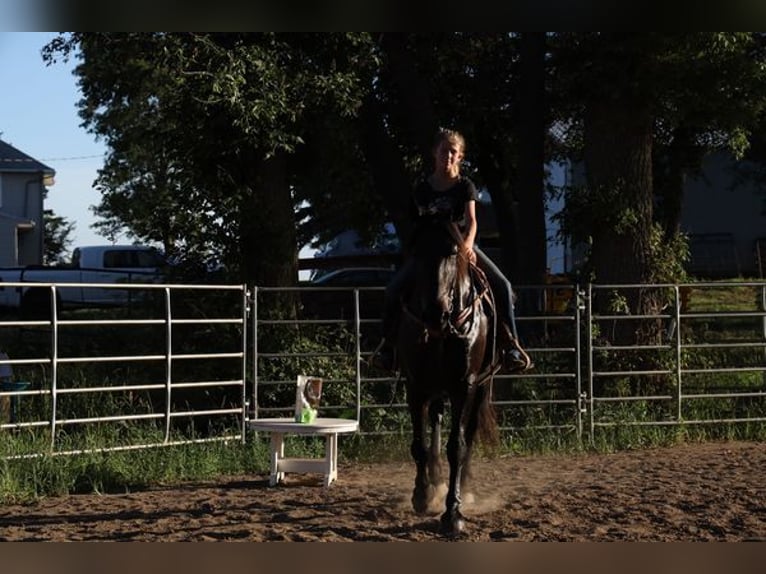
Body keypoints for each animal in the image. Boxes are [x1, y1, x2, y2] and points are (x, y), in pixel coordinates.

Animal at [395, 220, 499, 536]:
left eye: (454, 251)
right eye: (417, 251)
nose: (434, 312)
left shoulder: (463, 387)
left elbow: (458, 446)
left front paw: (453, 512)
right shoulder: (416, 386)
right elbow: (419, 444)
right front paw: (422, 494)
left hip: (480, 387)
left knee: (469, 433)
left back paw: (463, 488)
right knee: (435, 425)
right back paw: (435, 478)